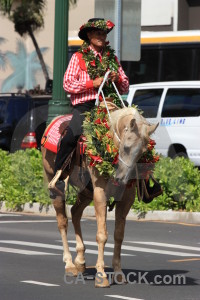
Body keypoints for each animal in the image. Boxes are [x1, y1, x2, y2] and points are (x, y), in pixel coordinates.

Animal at [41, 104, 158, 288]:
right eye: (126, 147)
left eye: (143, 153)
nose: (122, 179)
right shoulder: (100, 193)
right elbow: (102, 235)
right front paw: (101, 275)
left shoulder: (126, 198)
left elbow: (119, 235)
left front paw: (118, 273)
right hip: (56, 186)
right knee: (62, 222)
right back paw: (69, 264)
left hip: (86, 191)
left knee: (75, 212)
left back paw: (80, 261)